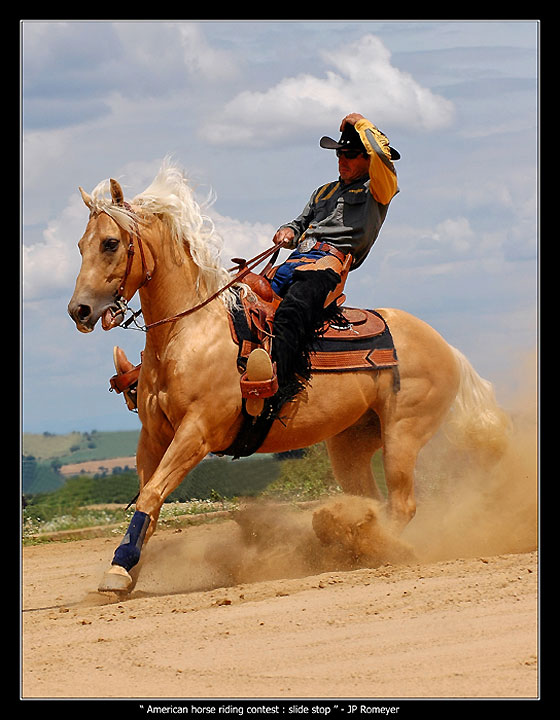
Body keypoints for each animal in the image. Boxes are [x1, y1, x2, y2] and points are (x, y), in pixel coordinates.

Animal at [68, 160, 510, 592]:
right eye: (80, 245)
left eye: (110, 243)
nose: (79, 311)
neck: (190, 330)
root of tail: (446, 348)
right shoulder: (153, 435)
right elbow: (150, 497)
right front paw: (125, 566)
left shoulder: (198, 432)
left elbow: (152, 494)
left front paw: (119, 570)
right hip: (350, 442)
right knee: (371, 500)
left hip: (403, 433)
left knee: (401, 504)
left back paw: (365, 548)